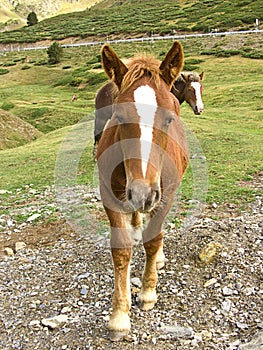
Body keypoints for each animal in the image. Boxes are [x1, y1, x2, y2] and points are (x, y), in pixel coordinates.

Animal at [97, 40, 190, 340]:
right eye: (118, 115)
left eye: (170, 118)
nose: (143, 193)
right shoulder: (109, 195)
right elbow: (121, 250)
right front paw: (119, 315)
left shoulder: (165, 195)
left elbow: (153, 239)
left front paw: (148, 292)